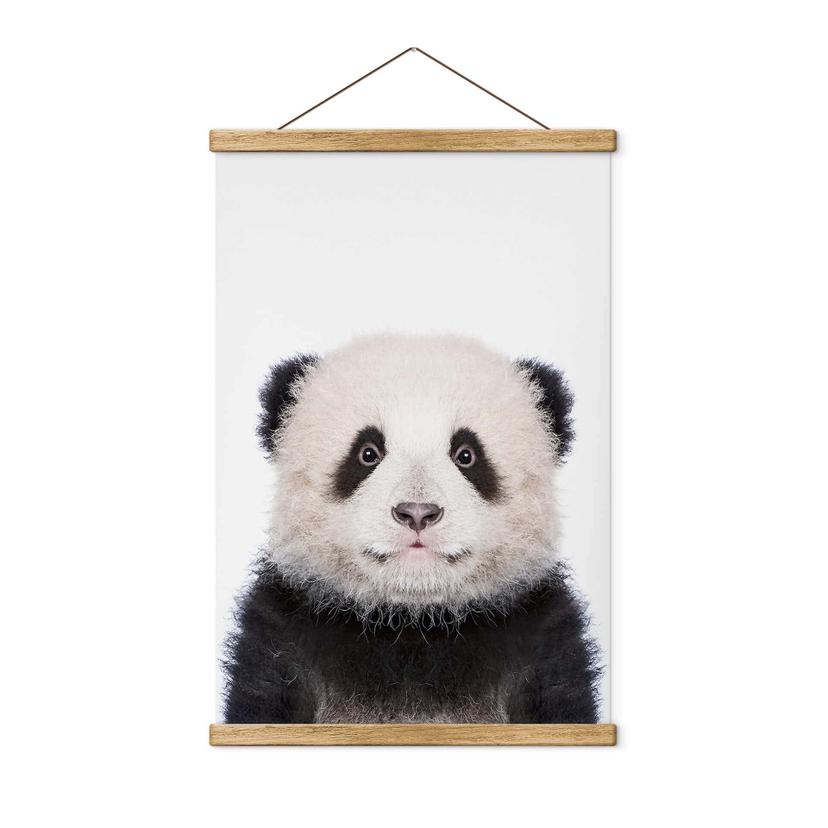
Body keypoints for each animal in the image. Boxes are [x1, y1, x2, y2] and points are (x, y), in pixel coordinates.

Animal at [223, 333, 600, 724]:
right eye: (367, 453)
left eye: (467, 455)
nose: (418, 513)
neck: (413, 622)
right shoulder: (283, 637)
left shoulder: (541, 640)